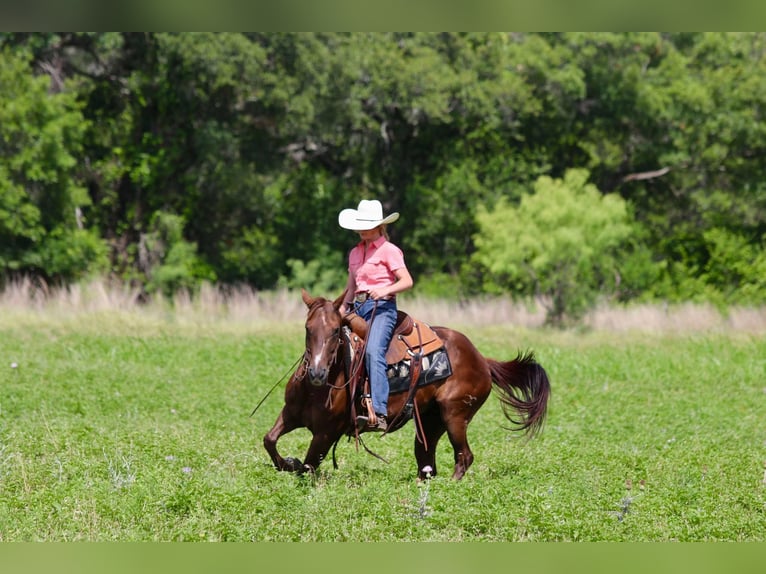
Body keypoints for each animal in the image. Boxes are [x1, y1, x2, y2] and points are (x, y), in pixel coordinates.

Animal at [262, 290, 551, 481]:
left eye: (335, 330)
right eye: (308, 328)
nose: (317, 372)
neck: (316, 389)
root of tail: (482, 360)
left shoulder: (326, 433)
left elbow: (308, 466)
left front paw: (294, 464)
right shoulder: (290, 415)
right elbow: (270, 440)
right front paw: (287, 462)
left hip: (455, 415)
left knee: (463, 456)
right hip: (431, 419)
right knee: (426, 460)